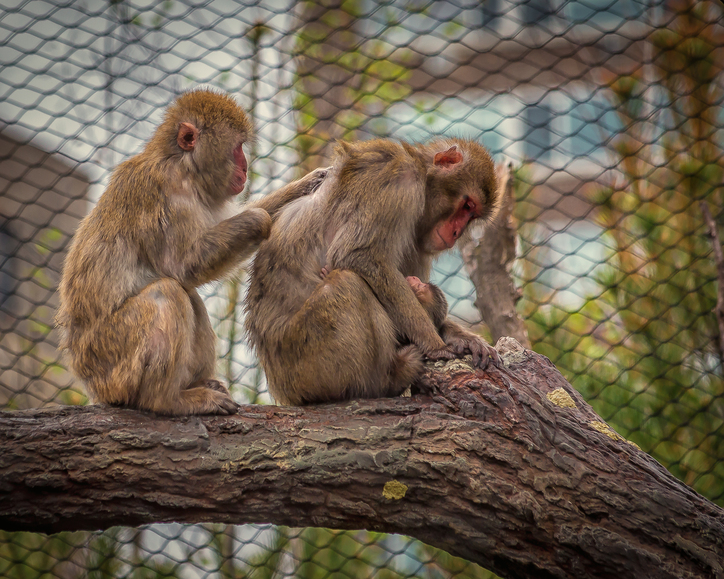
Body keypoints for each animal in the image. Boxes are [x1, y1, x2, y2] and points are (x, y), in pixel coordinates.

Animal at [56, 89, 326, 416]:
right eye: (237, 148)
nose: (245, 167)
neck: (183, 165)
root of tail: (88, 379)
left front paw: (310, 183)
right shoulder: (167, 192)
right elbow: (182, 267)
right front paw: (259, 219)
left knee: (189, 297)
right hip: (112, 361)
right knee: (168, 293)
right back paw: (166, 400)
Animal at [246, 138, 500, 406]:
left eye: (472, 215)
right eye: (467, 205)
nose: (455, 233)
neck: (423, 177)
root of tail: (282, 389)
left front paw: (464, 339)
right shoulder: (399, 180)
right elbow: (356, 256)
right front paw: (435, 344)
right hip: (303, 364)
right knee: (346, 282)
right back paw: (387, 381)